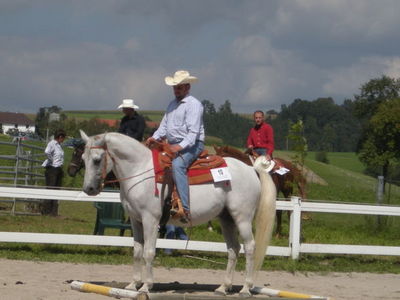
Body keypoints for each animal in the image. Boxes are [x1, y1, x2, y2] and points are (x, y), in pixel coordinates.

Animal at [80, 130, 276, 296]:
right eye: (83, 157)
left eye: (97, 159)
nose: (88, 189)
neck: (140, 171)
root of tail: (251, 169)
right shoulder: (136, 220)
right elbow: (137, 251)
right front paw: (132, 284)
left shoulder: (151, 220)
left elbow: (148, 252)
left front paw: (146, 286)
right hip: (226, 219)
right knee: (233, 249)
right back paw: (223, 287)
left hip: (242, 218)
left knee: (250, 247)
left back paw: (245, 288)